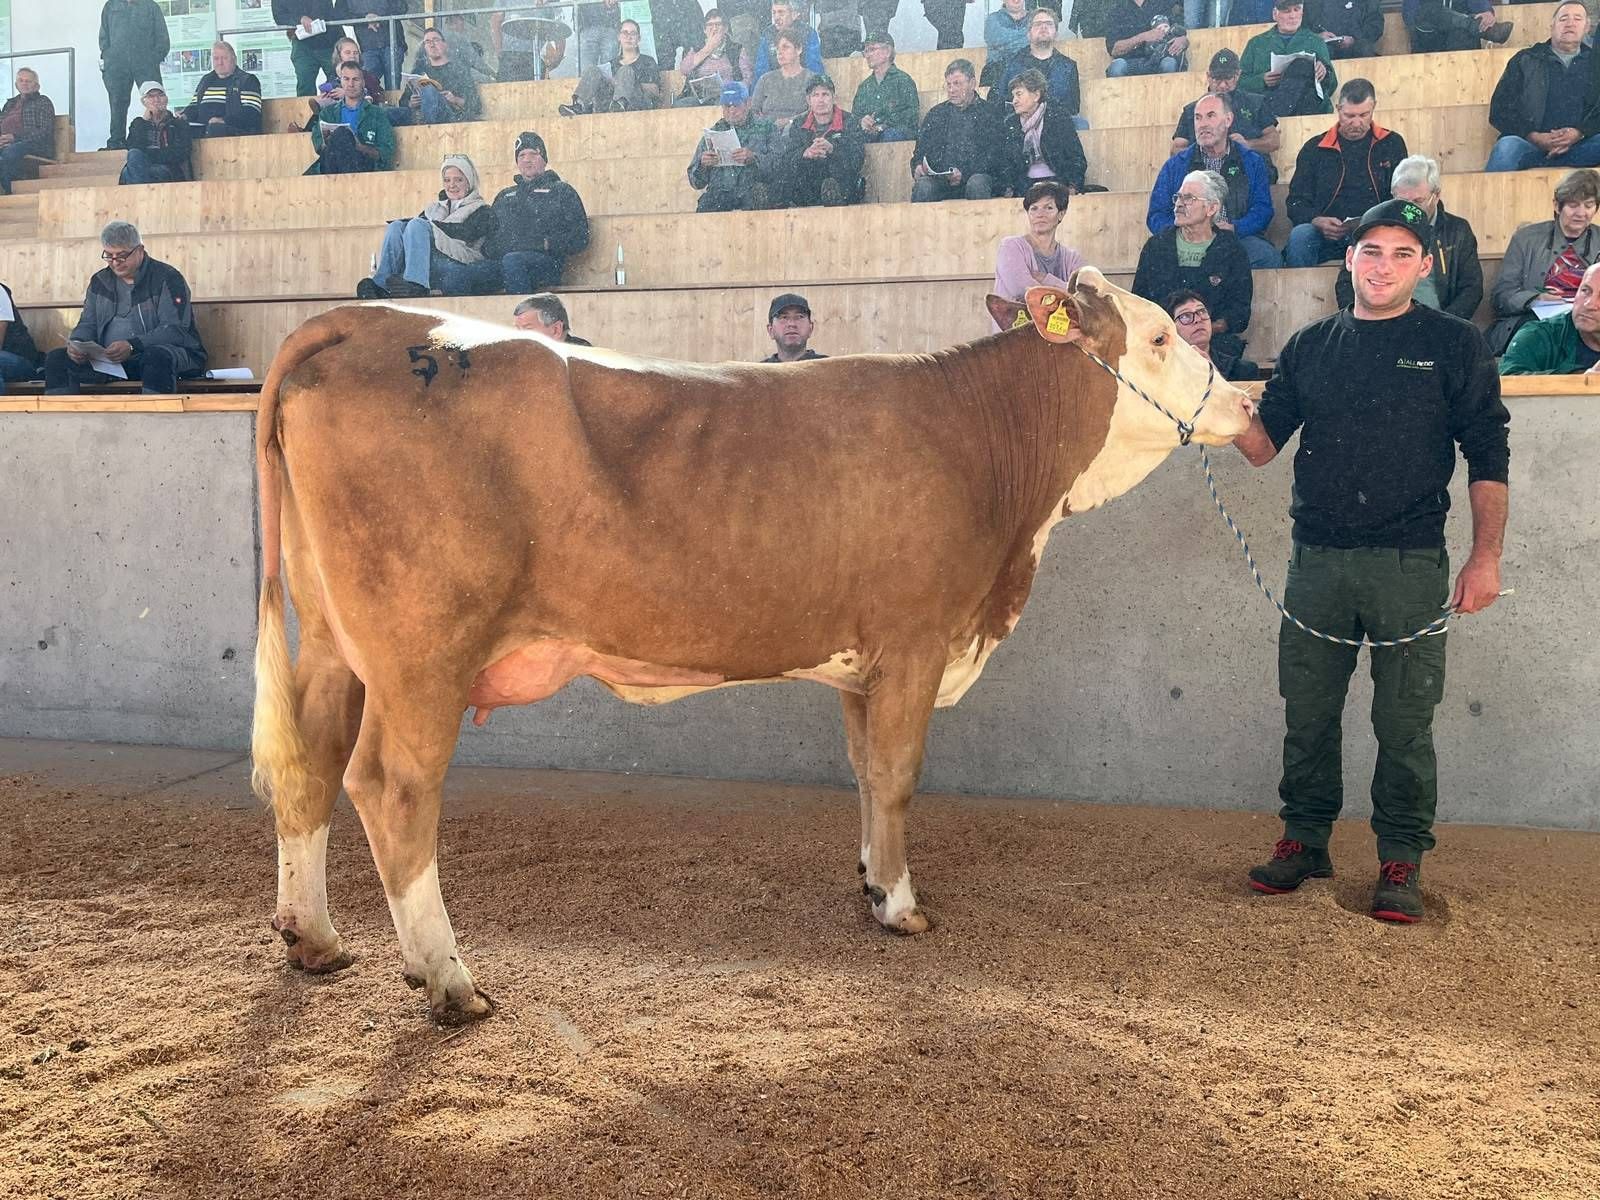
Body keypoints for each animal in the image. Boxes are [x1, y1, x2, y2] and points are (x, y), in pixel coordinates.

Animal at [251, 268, 1254, 1024]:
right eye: (1158, 336)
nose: (1247, 402)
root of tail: (366, 321)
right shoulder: (917, 637)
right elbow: (898, 774)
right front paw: (901, 906)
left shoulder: (864, 663)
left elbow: (865, 771)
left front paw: (869, 878)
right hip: (422, 652)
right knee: (393, 786)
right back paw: (449, 982)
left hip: (334, 643)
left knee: (309, 764)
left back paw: (315, 940)